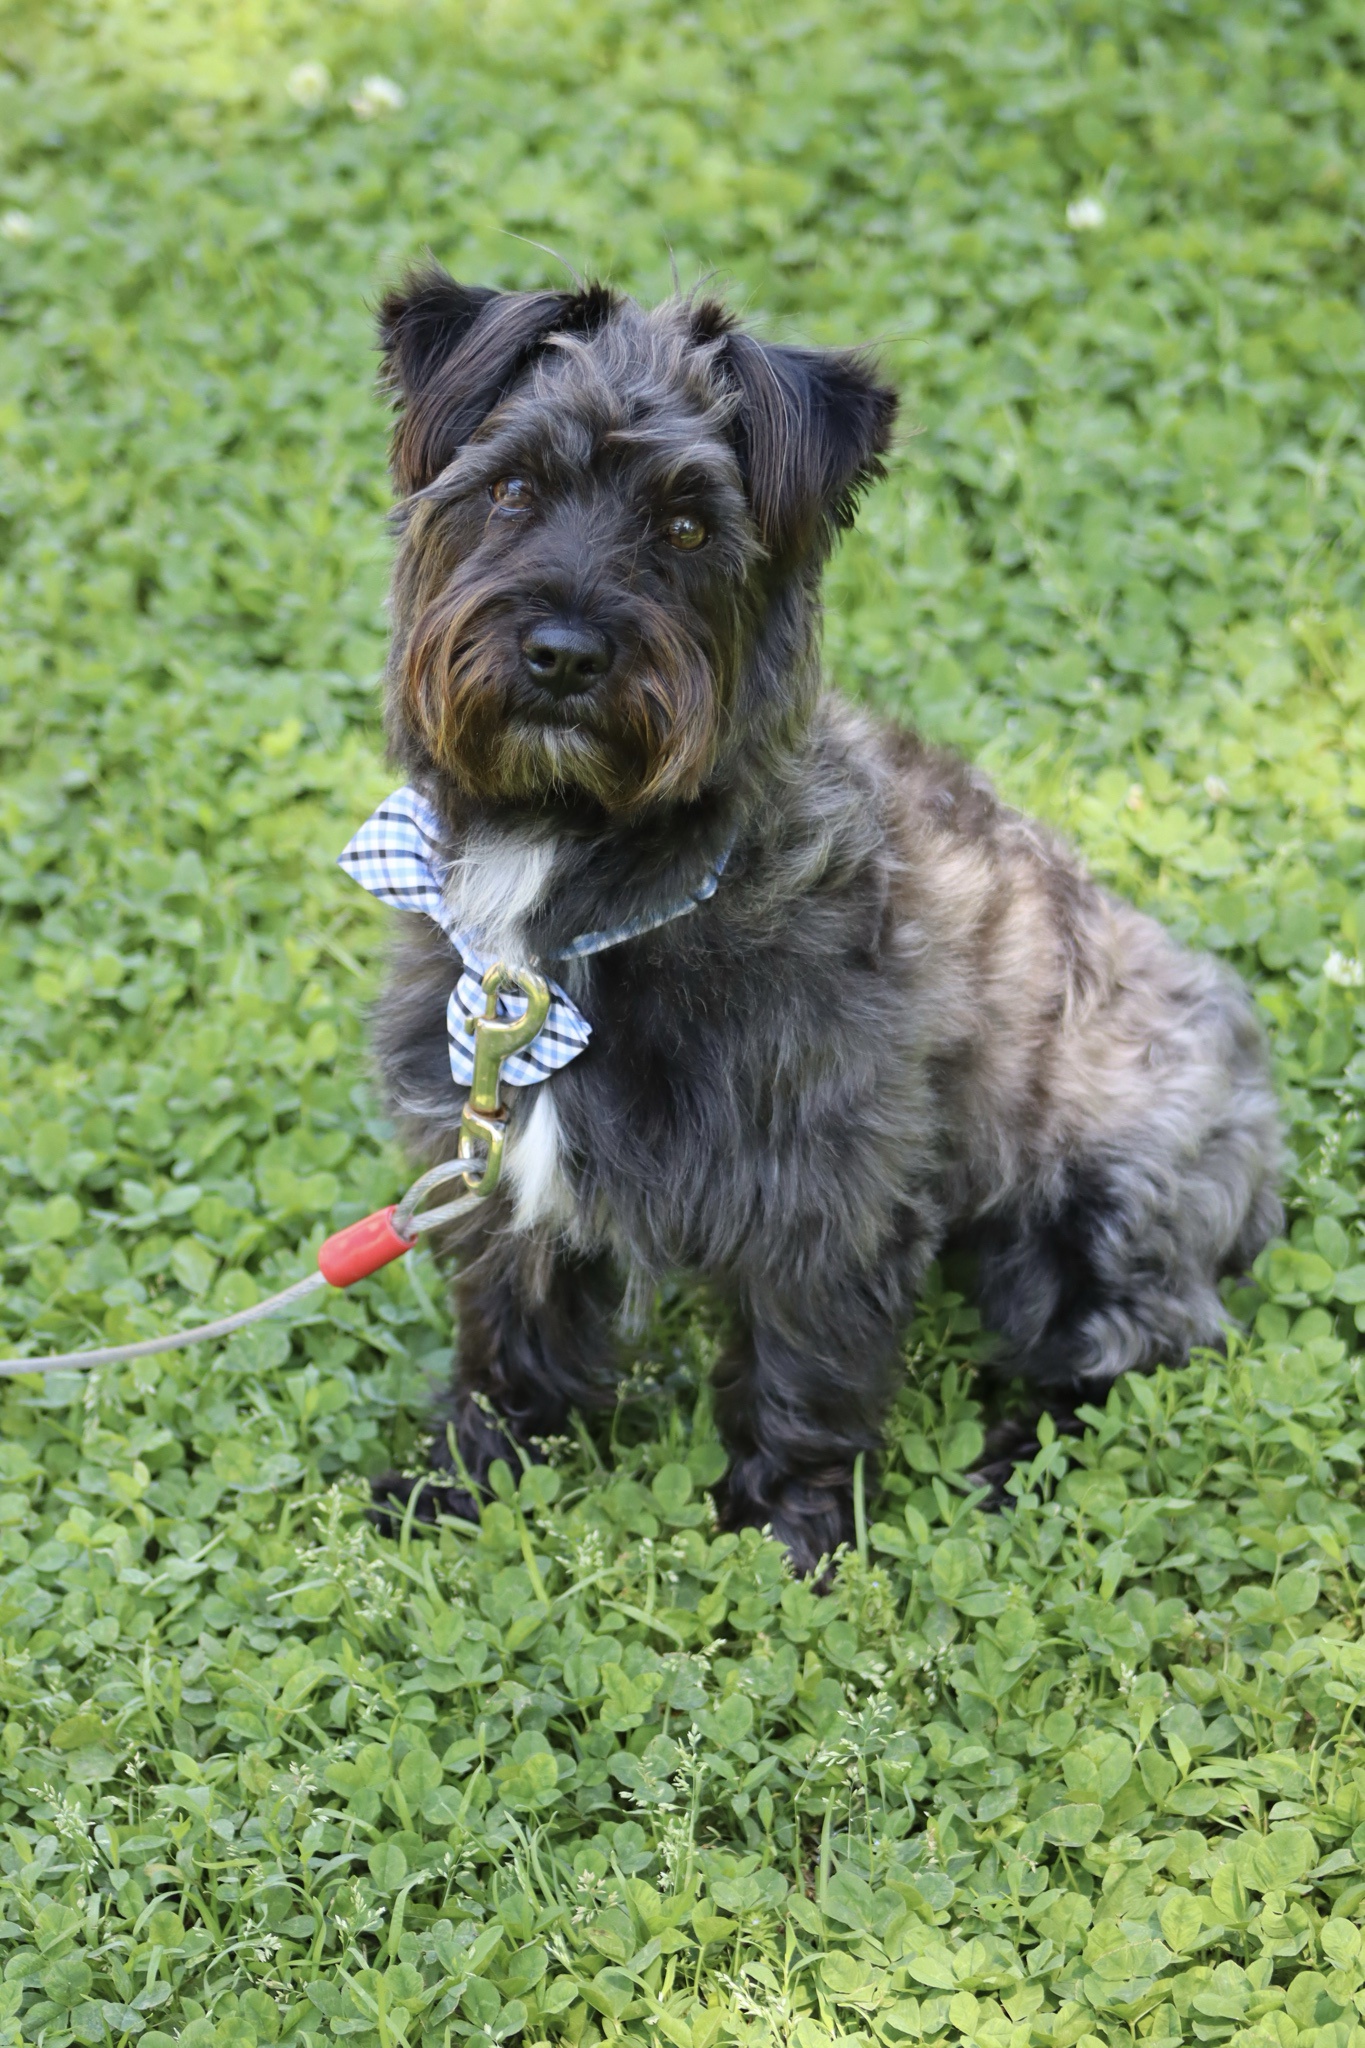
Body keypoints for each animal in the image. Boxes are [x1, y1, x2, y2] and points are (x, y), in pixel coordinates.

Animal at [349, 264, 1285, 1572]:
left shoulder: (821, 1188)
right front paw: (463, 1480)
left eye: (690, 529)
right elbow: (508, 1335)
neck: (579, 884)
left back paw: (1014, 1458)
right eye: (512, 488)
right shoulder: (491, 1162)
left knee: (1137, 1348)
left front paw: (784, 1536)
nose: (563, 653)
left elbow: (805, 1372)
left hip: (1106, 1201)